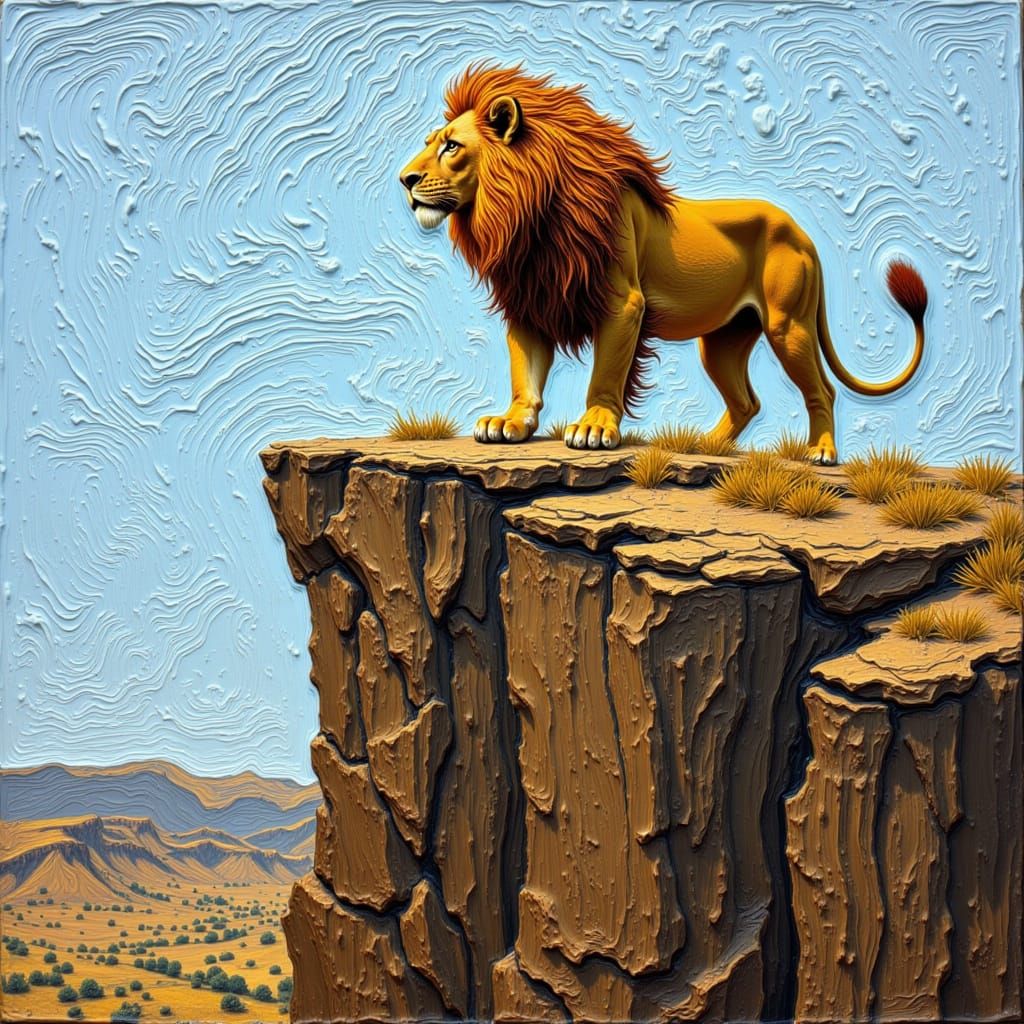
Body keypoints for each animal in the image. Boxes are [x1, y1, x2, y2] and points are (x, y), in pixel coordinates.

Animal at [398, 64, 927, 464]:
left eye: (451, 146)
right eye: (429, 141)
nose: (405, 179)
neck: (526, 218)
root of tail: (803, 232)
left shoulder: (623, 303)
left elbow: (605, 373)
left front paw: (594, 427)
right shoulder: (532, 301)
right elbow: (524, 371)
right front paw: (511, 421)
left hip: (788, 325)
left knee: (823, 390)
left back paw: (821, 452)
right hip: (722, 342)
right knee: (747, 401)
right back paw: (705, 446)